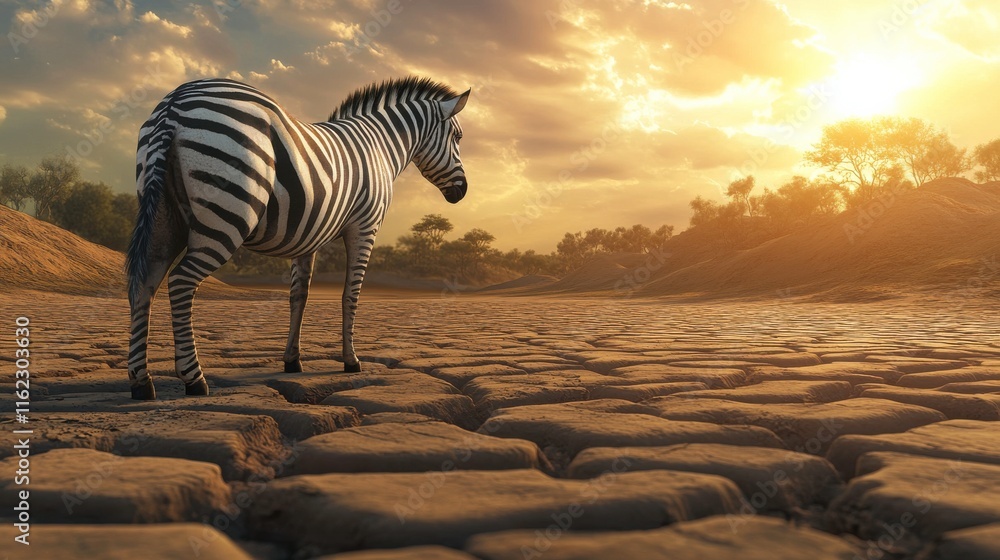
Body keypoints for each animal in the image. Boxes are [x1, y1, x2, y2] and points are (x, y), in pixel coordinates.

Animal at [126, 77, 470, 400]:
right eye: (457, 137)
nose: (463, 191)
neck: (380, 147)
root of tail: (177, 100)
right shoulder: (365, 227)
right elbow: (351, 295)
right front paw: (351, 361)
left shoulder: (309, 235)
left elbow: (299, 297)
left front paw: (292, 360)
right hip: (227, 215)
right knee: (180, 283)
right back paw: (194, 378)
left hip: (164, 216)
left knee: (144, 285)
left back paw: (141, 382)